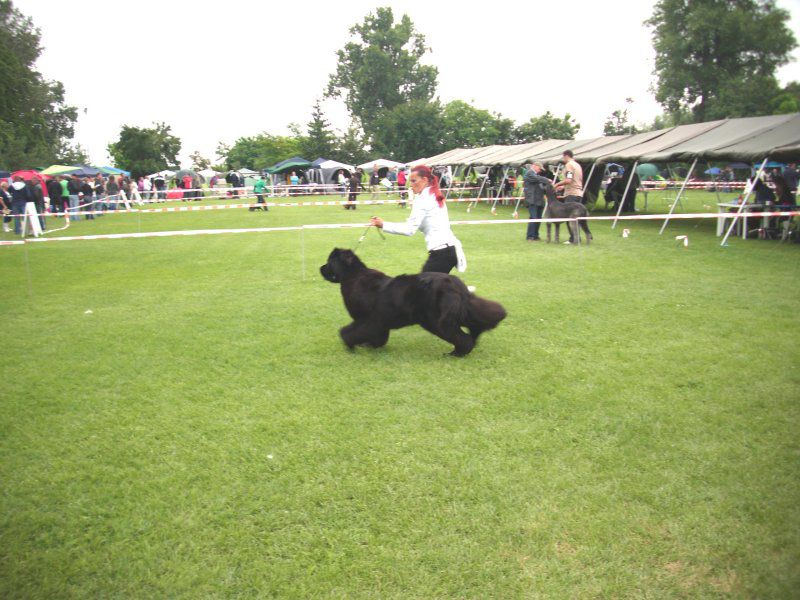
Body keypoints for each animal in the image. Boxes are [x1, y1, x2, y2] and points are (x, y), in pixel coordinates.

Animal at [318, 248, 506, 356]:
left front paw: (351, 345)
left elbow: (348, 332)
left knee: (462, 337)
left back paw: (456, 353)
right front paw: (371, 345)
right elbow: (378, 337)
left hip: (436, 321)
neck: (352, 276)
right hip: (455, 313)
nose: (320, 268)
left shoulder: (367, 320)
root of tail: (455, 285)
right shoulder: (379, 323)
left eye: (329, 262)